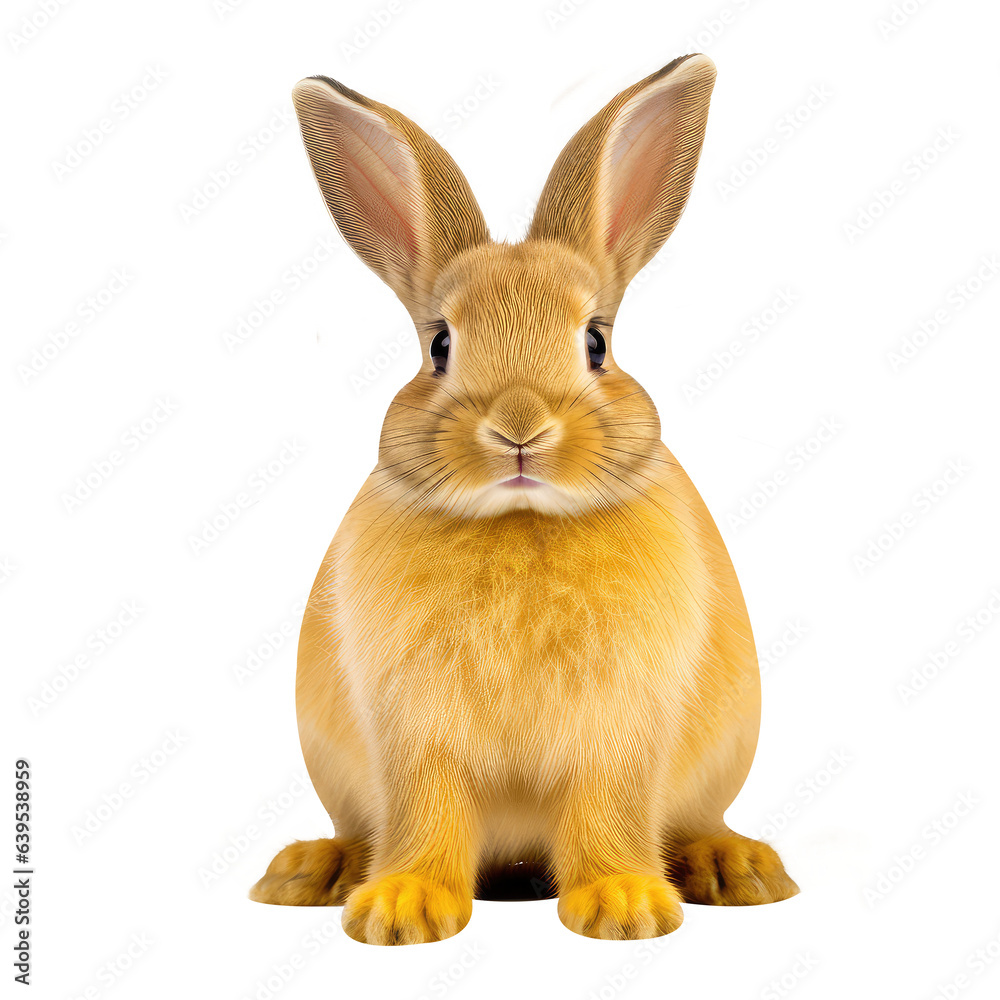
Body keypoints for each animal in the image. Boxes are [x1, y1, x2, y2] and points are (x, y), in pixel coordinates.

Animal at [249, 53, 799, 944]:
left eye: (597, 342)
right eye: (439, 344)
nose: (519, 429)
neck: (521, 520)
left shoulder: (620, 725)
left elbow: (610, 811)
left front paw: (623, 906)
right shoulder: (414, 729)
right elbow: (424, 813)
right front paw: (403, 909)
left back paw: (734, 866)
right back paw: (312, 870)